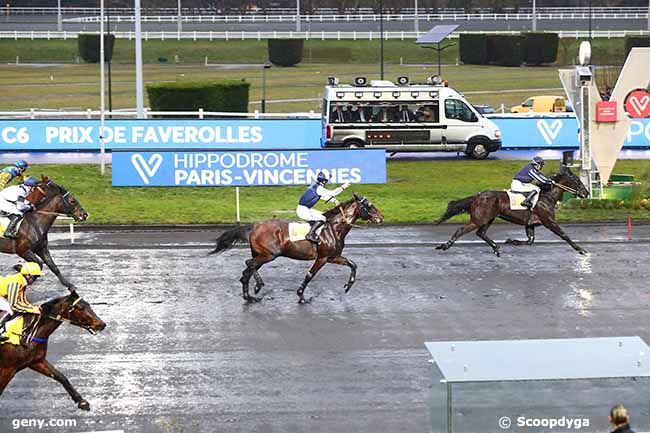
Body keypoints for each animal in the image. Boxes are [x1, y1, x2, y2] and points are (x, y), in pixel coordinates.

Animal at [208, 194, 382, 302]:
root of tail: (255, 226)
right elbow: (310, 275)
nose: (381, 217)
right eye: (369, 205)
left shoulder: (333, 257)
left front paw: (348, 286)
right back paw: (256, 288)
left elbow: (353, 264)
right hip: (269, 255)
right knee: (249, 265)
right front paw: (301, 296)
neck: (334, 229)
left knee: (247, 269)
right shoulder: (322, 258)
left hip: (261, 254)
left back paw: (250, 294)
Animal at [436, 168, 588, 256]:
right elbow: (564, 235)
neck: (547, 196)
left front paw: (512, 241)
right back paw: (444, 246)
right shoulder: (549, 221)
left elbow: (530, 240)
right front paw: (580, 249)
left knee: (481, 233)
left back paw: (496, 248)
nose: (586, 193)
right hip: (479, 219)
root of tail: (477, 196)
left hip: (488, 219)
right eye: (577, 180)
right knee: (461, 230)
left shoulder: (530, 224)